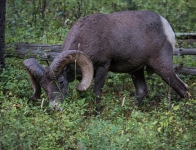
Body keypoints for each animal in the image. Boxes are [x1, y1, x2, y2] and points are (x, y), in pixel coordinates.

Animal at [23, 10, 188, 108]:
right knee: (142, 91)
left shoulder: (103, 66)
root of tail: (167, 27)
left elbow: (96, 92)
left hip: (163, 68)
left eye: (61, 81)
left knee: (183, 89)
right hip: (137, 71)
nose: (55, 107)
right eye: (43, 86)